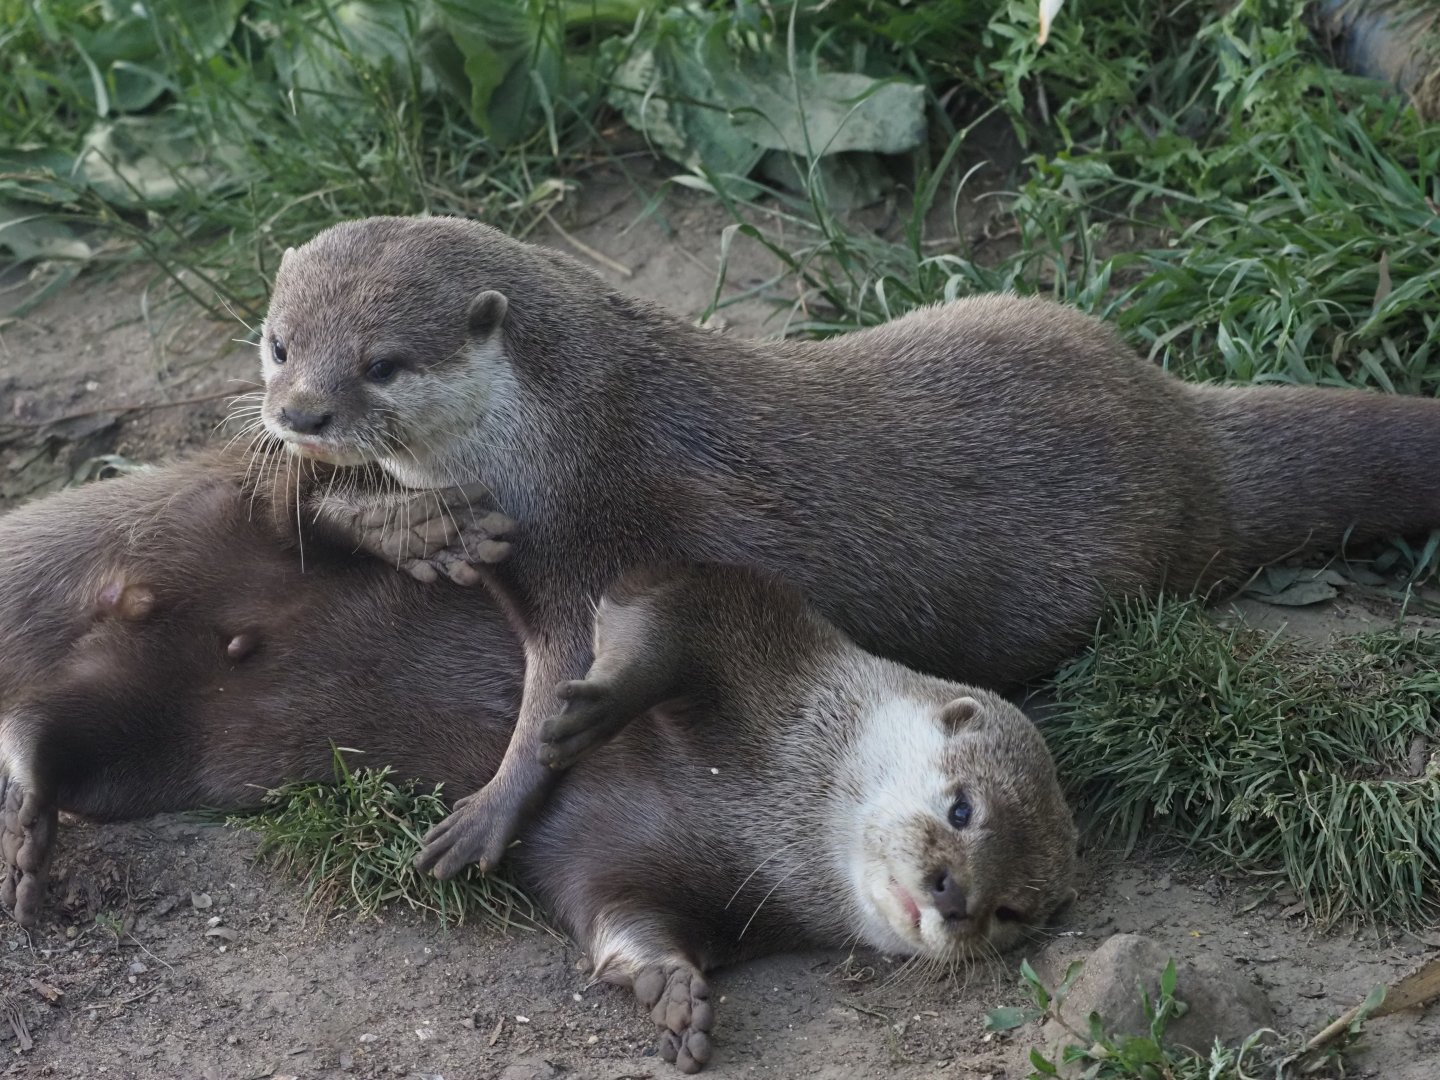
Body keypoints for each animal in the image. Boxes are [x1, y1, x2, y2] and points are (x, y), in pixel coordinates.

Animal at [0, 457, 1075, 1074]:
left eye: (1014, 911)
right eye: (963, 809)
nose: (953, 900)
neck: (775, 803)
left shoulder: (684, 886)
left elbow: (614, 916)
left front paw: (670, 994)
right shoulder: (743, 614)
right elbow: (653, 614)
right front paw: (587, 706)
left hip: (139, 739)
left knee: (48, 737)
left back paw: (29, 835)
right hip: (214, 518)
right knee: (279, 493)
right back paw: (413, 528)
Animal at [256, 216, 1440, 879]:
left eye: (384, 363)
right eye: (277, 343)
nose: (300, 412)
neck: (562, 437)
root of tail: (1187, 433)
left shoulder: (597, 540)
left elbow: (568, 696)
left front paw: (488, 811)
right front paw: (408, 530)